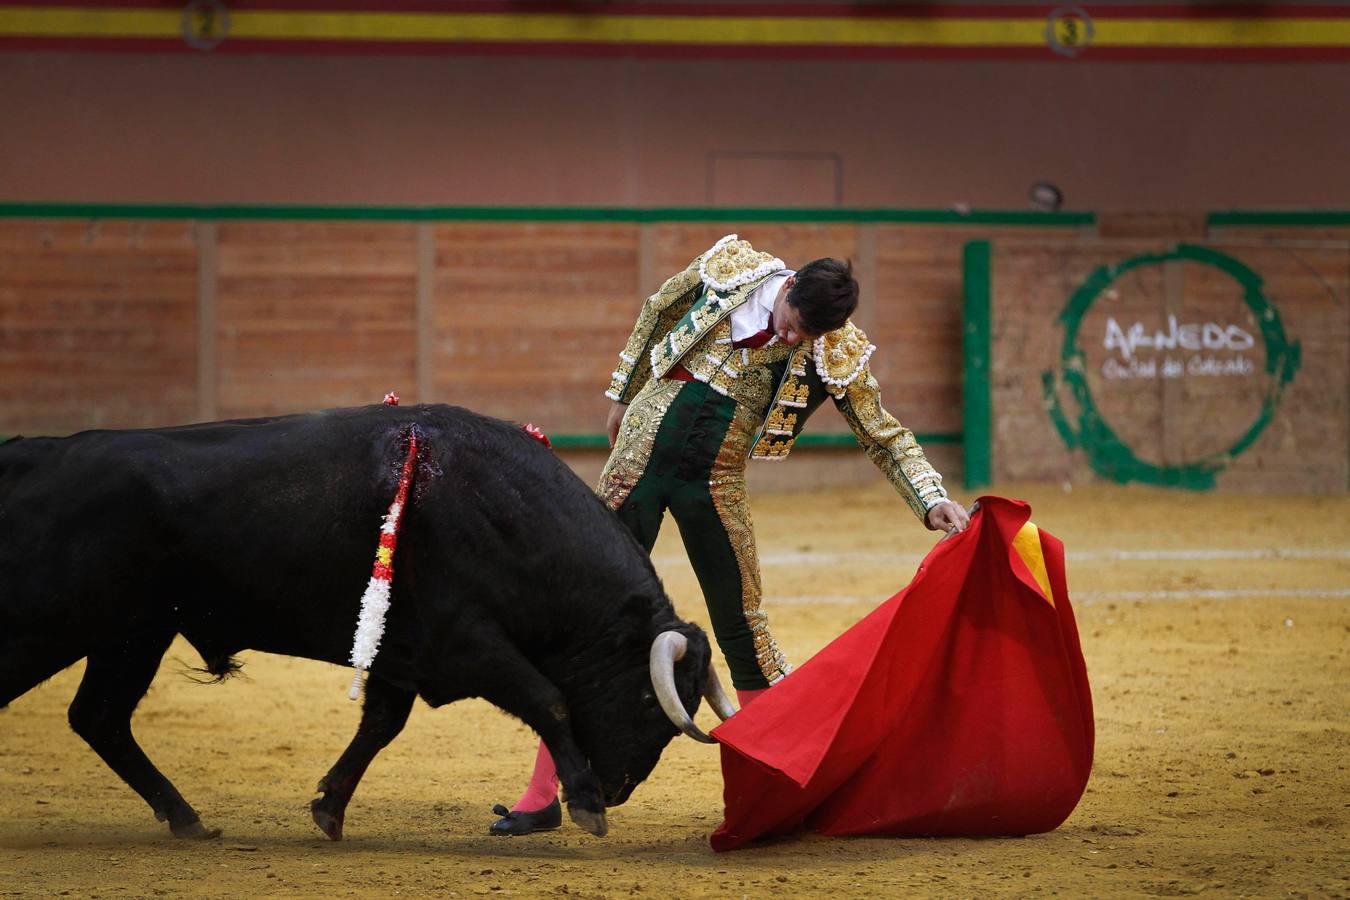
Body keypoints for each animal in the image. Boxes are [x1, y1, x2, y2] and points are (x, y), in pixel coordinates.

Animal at [0, 404, 718, 841]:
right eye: (649, 704)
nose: (618, 789)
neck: (506, 514)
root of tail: (33, 454)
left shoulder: (404, 655)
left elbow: (380, 725)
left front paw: (328, 808)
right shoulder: (465, 643)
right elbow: (550, 699)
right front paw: (586, 805)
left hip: (132, 635)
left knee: (99, 718)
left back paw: (187, 820)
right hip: (52, 626)